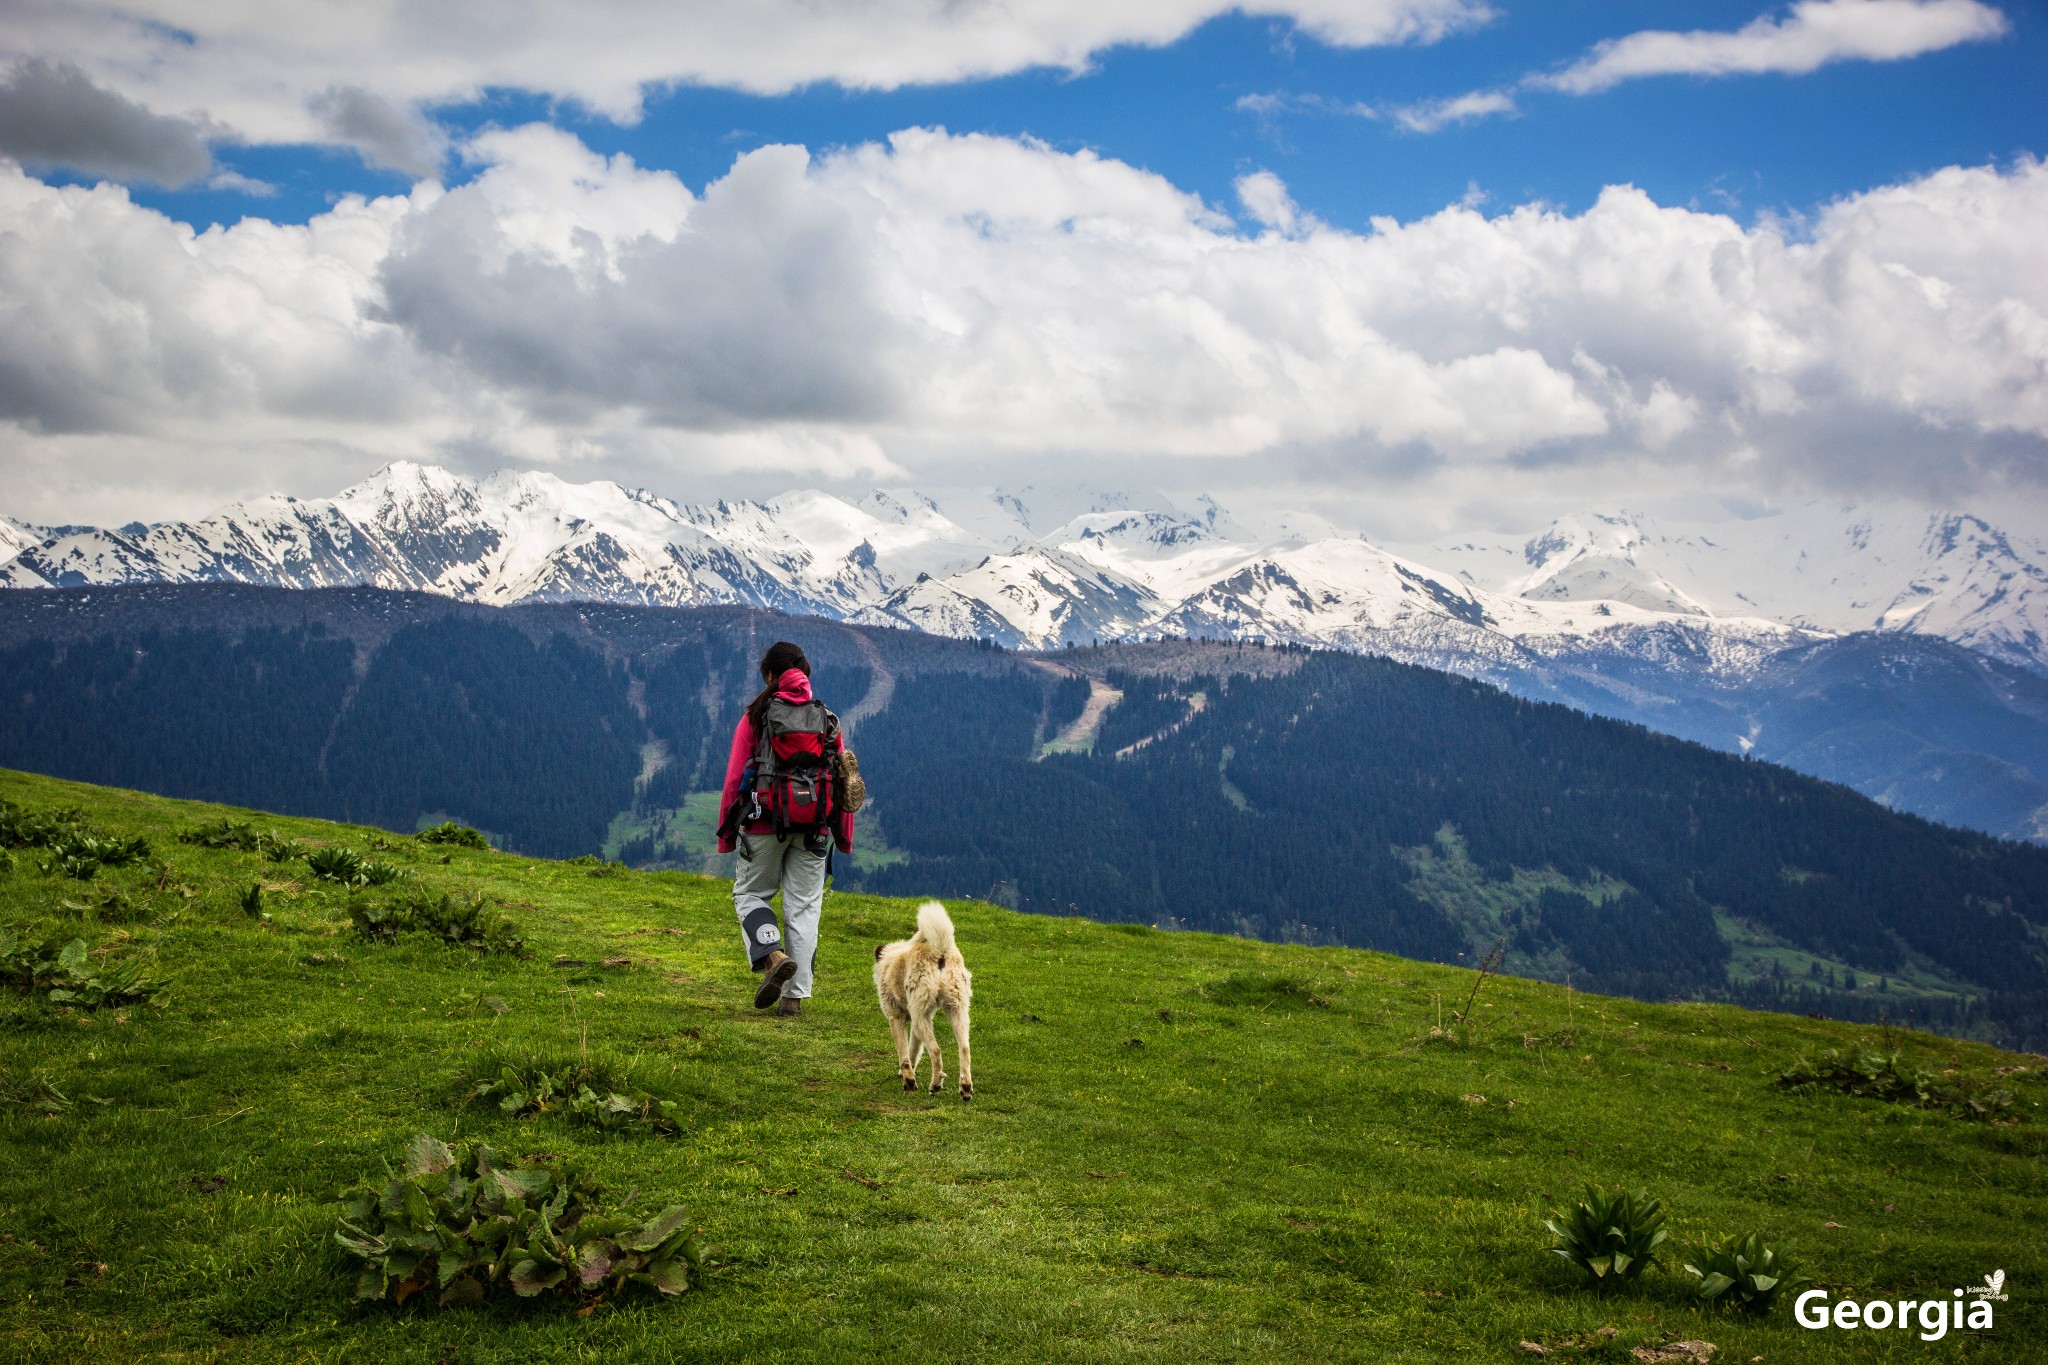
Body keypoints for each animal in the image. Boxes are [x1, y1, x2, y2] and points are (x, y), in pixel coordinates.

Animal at [872, 900, 974, 1105]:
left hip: (921, 1017)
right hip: (956, 1011)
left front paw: (909, 1082)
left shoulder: (896, 1018)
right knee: (964, 1048)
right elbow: (913, 1049)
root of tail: (939, 950)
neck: (890, 963)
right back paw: (966, 1088)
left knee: (935, 1050)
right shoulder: (915, 1020)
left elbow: (904, 1054)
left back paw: (935, 1085)